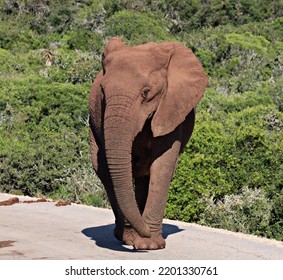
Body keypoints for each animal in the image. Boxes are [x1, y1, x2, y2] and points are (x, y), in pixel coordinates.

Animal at [89, 37, 209, 249]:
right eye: (102, 92)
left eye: (146, 93)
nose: (143, 232)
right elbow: (115, 167)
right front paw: (139, 240)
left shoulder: (171, 109)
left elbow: (162, 167)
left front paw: (149, 245)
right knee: (103, 169)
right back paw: (127, 236)